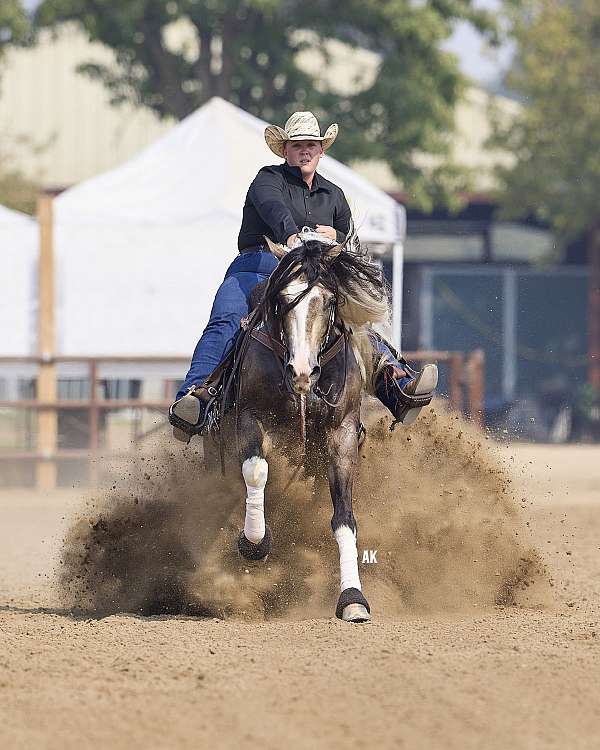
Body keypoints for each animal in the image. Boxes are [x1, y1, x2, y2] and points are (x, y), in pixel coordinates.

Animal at [206, 232, 390, 624]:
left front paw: (353, 598)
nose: (302, 372)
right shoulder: (249, 418)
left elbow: (344, 517)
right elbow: (257, 471)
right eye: (281, 300)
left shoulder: (342, 434)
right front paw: (254, 543)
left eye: (330, 300)